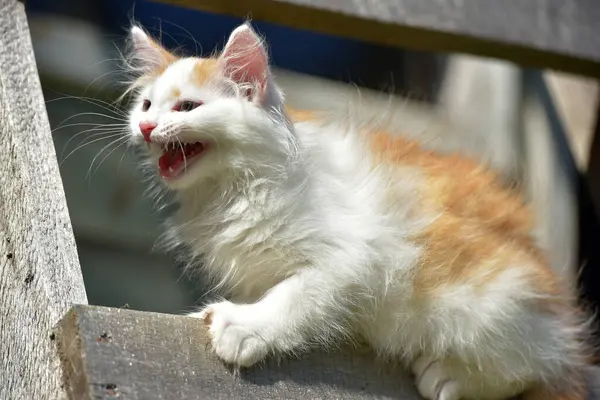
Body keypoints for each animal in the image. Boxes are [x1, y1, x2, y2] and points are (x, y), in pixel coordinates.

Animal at [123, 22, 592, 400]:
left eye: (188, 107)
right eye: (146, 106)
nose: (146, 127)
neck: (233, 186)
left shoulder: (355, 253)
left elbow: (297, 294)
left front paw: (246, 326)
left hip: (487, 303)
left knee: (533, 366)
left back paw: (448, 376)